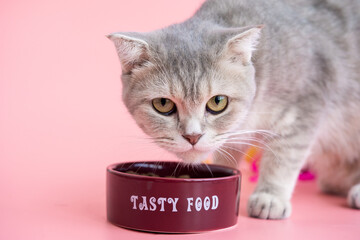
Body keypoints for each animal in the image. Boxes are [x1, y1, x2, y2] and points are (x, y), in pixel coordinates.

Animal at [108, 0, 360, 218]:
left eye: (217, 102)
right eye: (163, 104)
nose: (192, 136)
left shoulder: (305, 104)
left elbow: (283, 155)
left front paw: (270, 196)